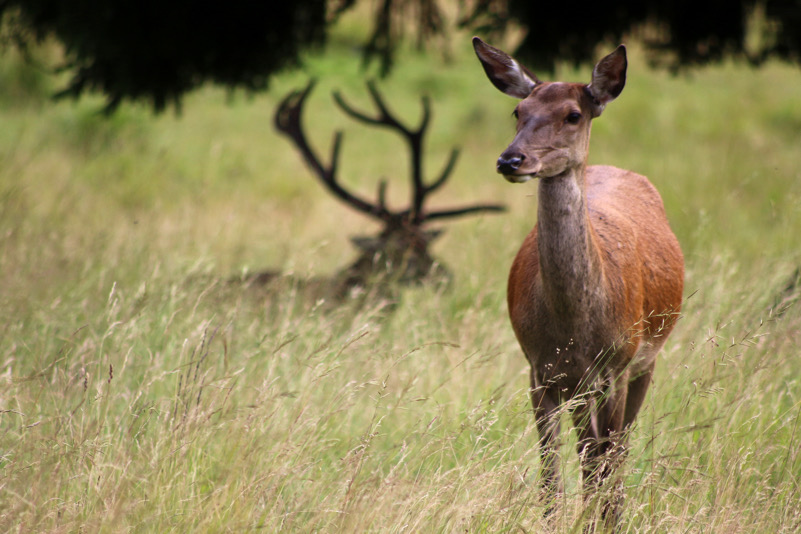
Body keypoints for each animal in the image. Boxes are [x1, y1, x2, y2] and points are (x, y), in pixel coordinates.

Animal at [472, 37, 684, 528]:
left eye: (573, 114)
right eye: (518, 111)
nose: (510, 159)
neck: (575, 327)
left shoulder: (617, 365)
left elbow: (606, 463)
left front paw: (604, 522)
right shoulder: (539, 369)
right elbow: (552, 477)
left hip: (645, 360)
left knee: (613, 453)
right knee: (589, 454)